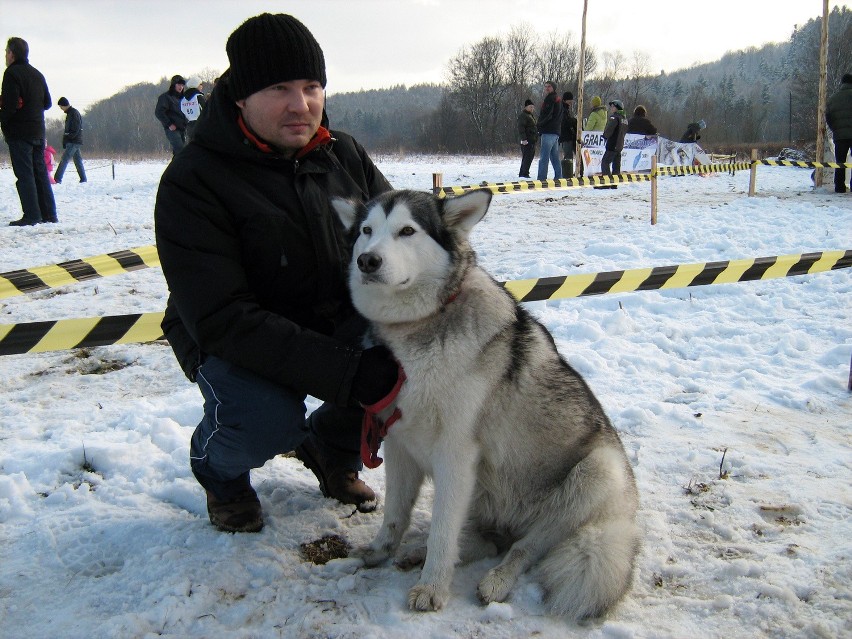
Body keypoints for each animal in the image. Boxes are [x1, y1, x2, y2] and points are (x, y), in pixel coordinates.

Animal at [332, 189, 640, 620]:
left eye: (407, 231)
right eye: (366, 231)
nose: (368, 261)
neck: (420, 328)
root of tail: (623, 521)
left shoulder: (456, 453)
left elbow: (443, 531)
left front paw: (432, 588)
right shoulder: (398, 443)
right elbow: (395, 514)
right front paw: (379, 553)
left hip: (596, 473)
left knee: (524, 547)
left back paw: (496, 579)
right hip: (484, 497)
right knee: (487, 541)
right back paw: (418, 552)